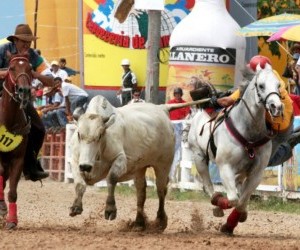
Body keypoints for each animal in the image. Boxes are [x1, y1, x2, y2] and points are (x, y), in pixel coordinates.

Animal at [69, 95, 204, 230]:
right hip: (139, 168)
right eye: (79, 134)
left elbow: (111, 179)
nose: (86, 166)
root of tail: (161, 108)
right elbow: (79, 184)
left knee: (161, 190)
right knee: (141, 192)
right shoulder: (75, 161)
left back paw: (160, 221)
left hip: (163, 164)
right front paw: (76, 207)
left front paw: (110, 209)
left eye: (100, 135)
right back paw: (139, 222)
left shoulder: (121, 160)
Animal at [189, 63, 282, 235]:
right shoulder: (225, 167)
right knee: (209, 185)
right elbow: (233, 199)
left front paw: (234, 221)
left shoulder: (257, 173)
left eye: (278, 85)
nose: (276, 107)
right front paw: (226, 215)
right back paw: (217, 203)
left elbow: (242, 201)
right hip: (198, 156)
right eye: (261, 85)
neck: (249, 132)